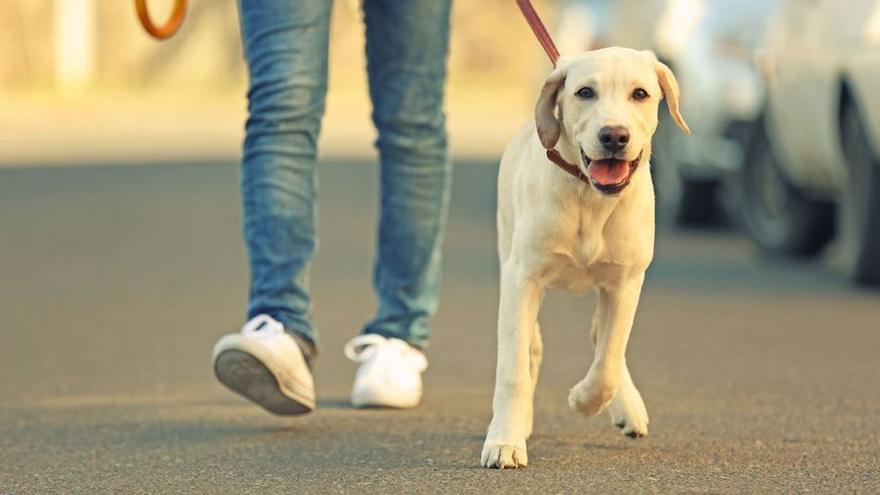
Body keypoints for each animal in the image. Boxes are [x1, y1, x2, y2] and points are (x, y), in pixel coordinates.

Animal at [482, 47, 688, 468]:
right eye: (585, 92)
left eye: (640, 94)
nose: (614, 136)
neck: (590, 200)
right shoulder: (522, 278)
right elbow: (513, 367)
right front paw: (505, 440)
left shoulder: (625, 282)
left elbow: (608, 359)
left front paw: (584, 399)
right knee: (532, 344)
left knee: (605, 338)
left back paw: (628, 407)